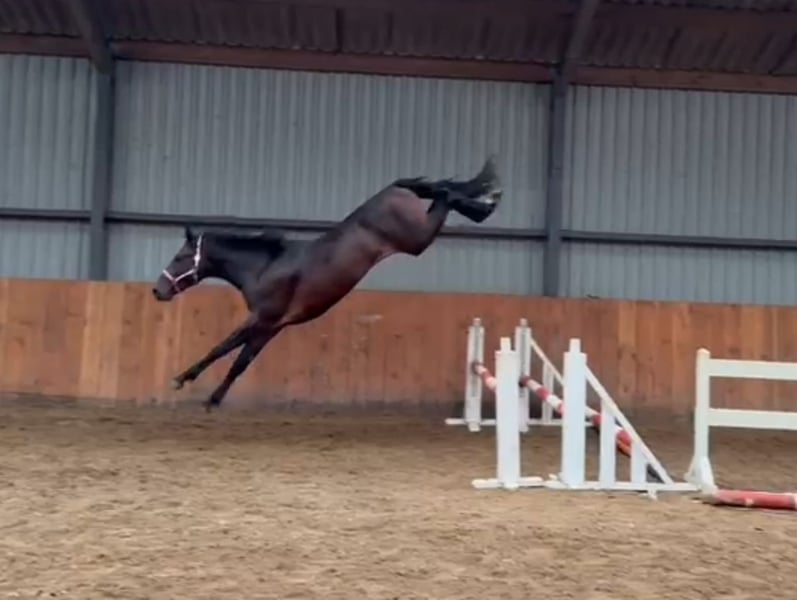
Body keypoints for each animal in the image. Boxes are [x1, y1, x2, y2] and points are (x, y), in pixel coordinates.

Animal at [152, 157, 503, 411]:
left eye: (180, 258)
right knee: (446, 193)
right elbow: (233, 355)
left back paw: (485, 204)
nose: (158, 290)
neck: (266, 267)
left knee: (445, 195)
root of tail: (394, 188)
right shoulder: (269, 327)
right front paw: (195, 387)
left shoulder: (263, 321)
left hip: (417, 240)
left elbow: (229, 354)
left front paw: (199, 391)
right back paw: (485, 202)